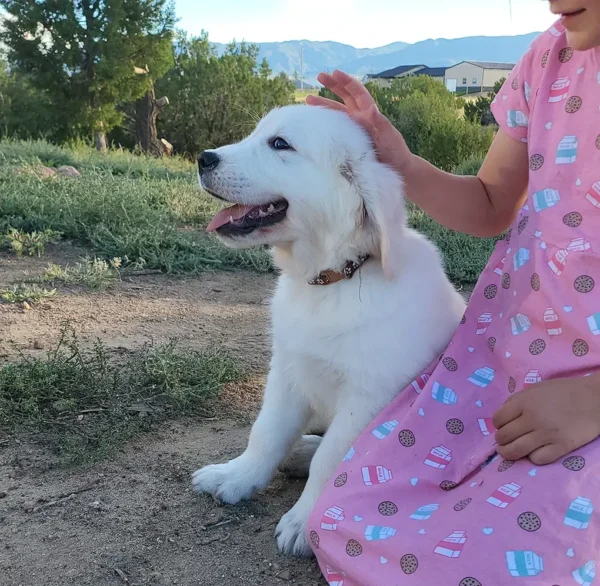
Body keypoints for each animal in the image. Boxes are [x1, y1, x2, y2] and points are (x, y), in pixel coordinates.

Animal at [192, 105, 464, 556]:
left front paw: (304, 522)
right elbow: (266, 432)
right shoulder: (287, 370)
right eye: (256, 133)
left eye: (280, 144)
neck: (332, 281)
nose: (203, 158)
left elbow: (334, 460)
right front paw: (236, 476)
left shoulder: (368, 398)